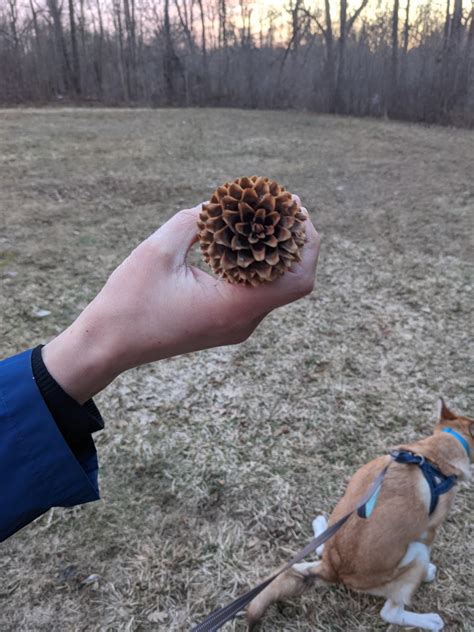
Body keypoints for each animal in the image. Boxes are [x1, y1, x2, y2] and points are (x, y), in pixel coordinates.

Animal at [246, 402, 472, 628]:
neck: (434, 454)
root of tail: (332, 569)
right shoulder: (429, 529)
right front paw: (426, 573)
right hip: (417, 552)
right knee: (391, 612)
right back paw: (430, 618)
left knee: (321, 548)